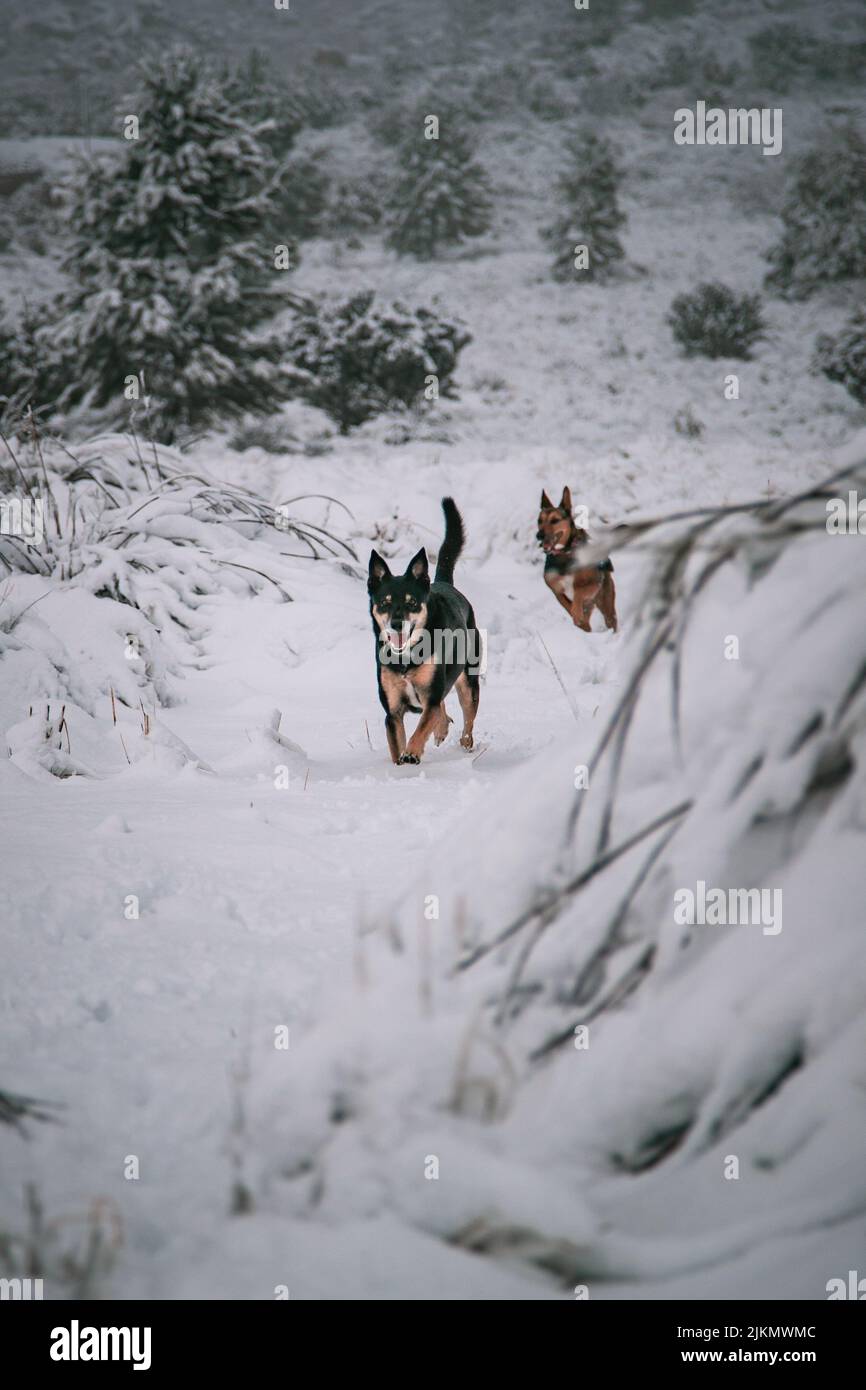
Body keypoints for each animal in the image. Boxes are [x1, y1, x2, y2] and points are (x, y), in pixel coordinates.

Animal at [366, 497, 480, 767]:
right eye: (384, 602)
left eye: (411, 603)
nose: (397, 623)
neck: (406, 659)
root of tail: (444, 583)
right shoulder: (393, 711)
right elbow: (397, 742)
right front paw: (401, 762)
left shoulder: (431, 694)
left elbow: (421, 727)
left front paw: (412, 753)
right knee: (443, 711)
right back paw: (442, 728)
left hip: (468, 681)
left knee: (467, 718)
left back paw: (465, 744)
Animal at [539, 486, 619, 633]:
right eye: (539, 521)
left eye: (554, 520)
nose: (539, 535)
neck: (564, 553)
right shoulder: (556, 590)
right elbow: (567, 604)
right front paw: (576, 617)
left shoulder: (593, 584)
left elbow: (579, 594)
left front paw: (576, 613)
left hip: (606, 600)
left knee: (611, 619)